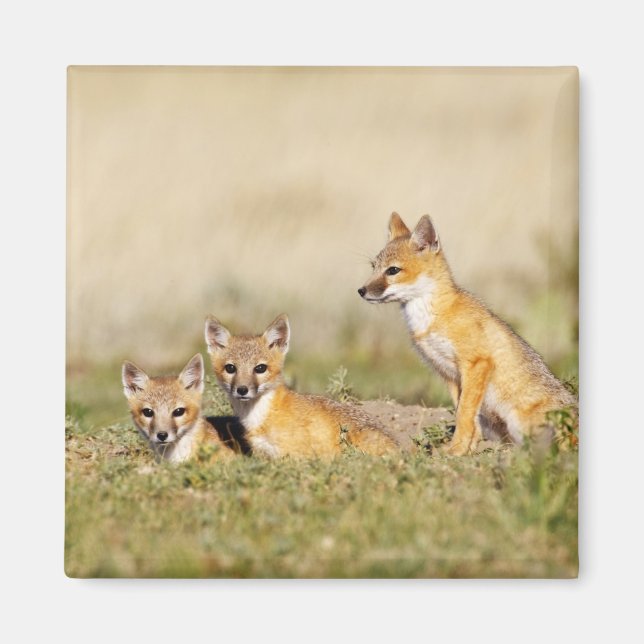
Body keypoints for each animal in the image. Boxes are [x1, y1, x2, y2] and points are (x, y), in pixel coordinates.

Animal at [358, 212, 576, 456]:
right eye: (374, 267)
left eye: (392, 271)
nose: (361, 291)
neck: (431, 316)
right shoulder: (449, 374)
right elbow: (466, 414)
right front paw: (467, 449)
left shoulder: (476, 363)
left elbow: (464, 414)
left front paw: (456, 450)